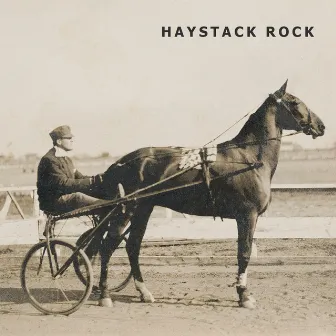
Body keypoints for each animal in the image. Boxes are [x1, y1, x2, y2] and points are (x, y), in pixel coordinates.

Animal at [93, 80, 324, 308]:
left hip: (143, 209)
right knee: (108, 247)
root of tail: (119, 163)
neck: (249, 158)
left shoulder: (251, 217)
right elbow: (244, 253)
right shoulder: (247, 215)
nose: (321, 126)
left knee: (132, 246)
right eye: (295, 102)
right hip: (127, 211)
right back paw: (105, 294)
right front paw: (244, 295)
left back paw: (144, 292)